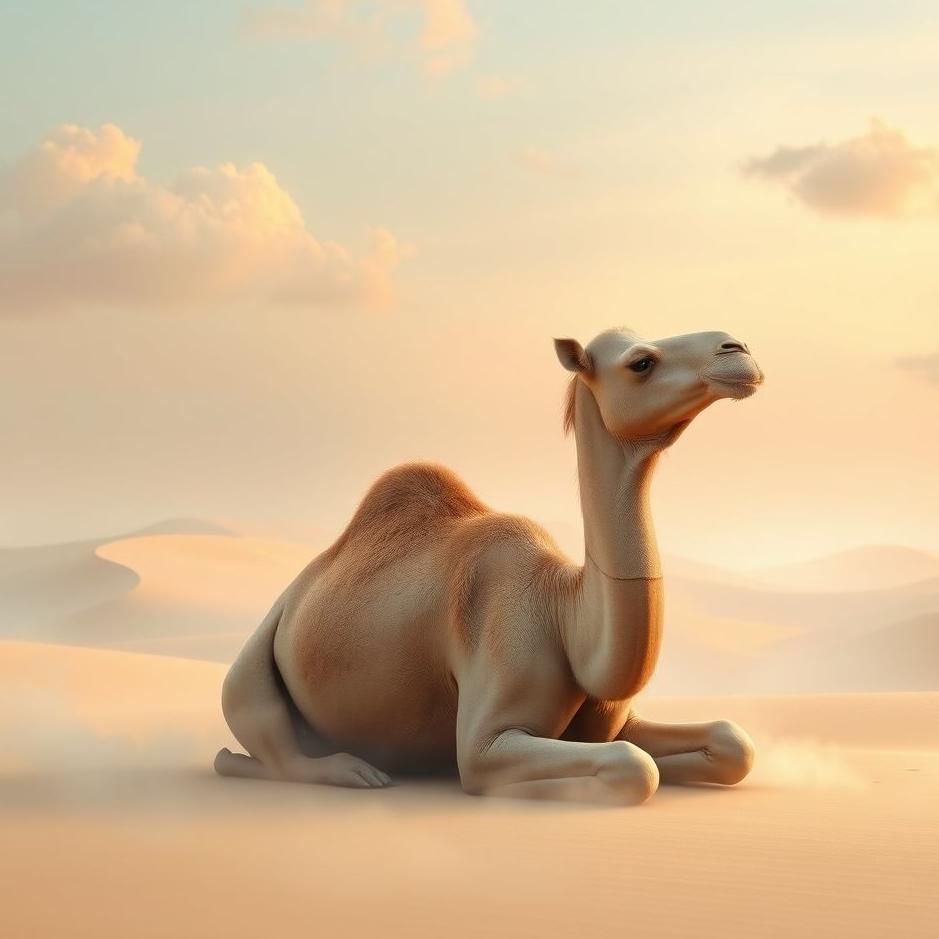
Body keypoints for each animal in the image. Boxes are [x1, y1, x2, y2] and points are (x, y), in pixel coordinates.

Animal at [215, 327, 764, 805]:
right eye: (641, 363)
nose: (737, 350)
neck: (565, 614)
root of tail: (288, 595)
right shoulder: (486, 736)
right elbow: (628, 763)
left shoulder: (616, 720)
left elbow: (730, 741)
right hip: (250, 665)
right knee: (271, 746)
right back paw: (349, 769)